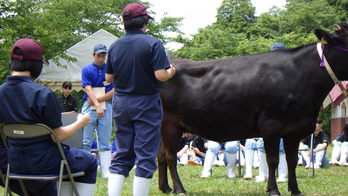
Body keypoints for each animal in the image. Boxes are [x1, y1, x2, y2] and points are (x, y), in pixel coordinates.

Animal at [157, 21, 348, 196]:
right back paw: (179, 189)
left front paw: (295, 190)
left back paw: (165, 188)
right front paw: (273, 190)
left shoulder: (293, 130)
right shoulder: (271, 126)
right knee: (170, 156)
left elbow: (292, 160)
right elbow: (273, 160)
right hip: (170, 124)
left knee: (161, 155)